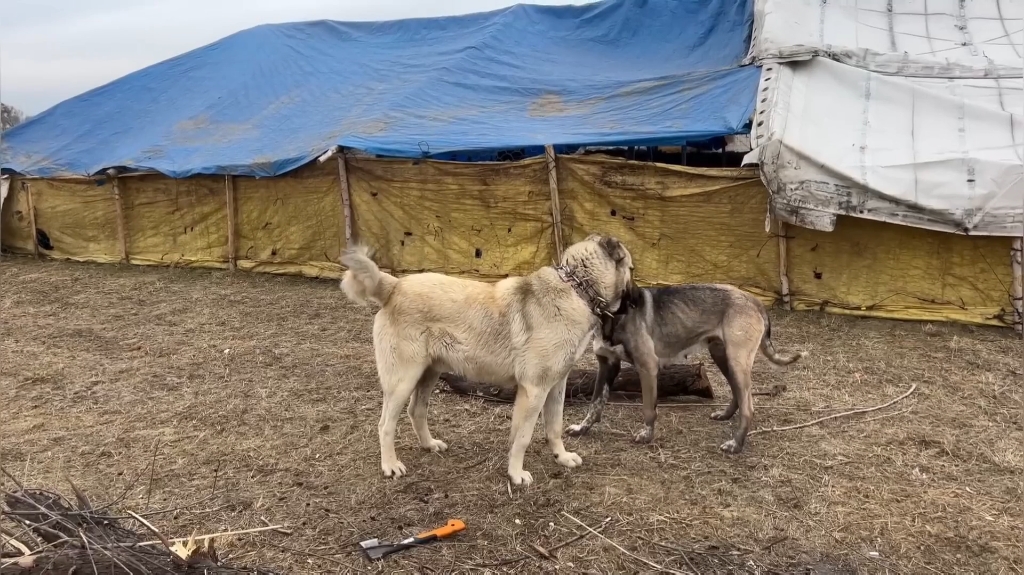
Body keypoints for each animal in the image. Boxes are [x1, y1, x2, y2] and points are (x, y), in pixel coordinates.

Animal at [339, 234, 634, 482]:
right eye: (631, 269)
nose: (637, 301)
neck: (577, 288)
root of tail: (395, 285)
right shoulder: (534, 390)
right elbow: (523, 437)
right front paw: (516, 475)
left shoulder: (556, 386)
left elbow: (554, 427)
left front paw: (561, 457)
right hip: (403, 380)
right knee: (385, 425)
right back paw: (390, 465)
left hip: (428, 373)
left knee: (416, 411)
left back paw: (429, 445)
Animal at [565, 282, 802, 452]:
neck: (614, 316)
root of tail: (754, 299)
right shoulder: (607, 365)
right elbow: (595, 403)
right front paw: (582, 428)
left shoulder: (647, 367)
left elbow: (648, 409)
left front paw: (647, 435)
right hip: (723, 357)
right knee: (738, 394)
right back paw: (725, 416)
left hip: (737, 361)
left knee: (748, 407)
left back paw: (736, 444)